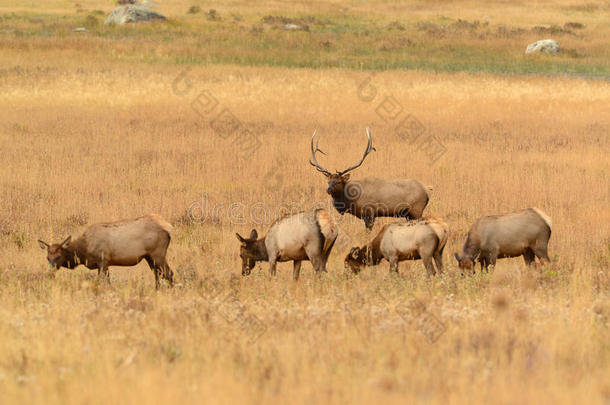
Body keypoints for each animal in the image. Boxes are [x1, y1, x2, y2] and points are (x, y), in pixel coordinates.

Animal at [37, 213, 172, 288]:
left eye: (59, 256)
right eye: (47, 257)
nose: (50, 272)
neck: (83, 251)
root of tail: (169, 230)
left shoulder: (103, 260)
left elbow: (103, 282)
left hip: (158, 253)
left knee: (169, 273)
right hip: (149, 256)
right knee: (158, 274)